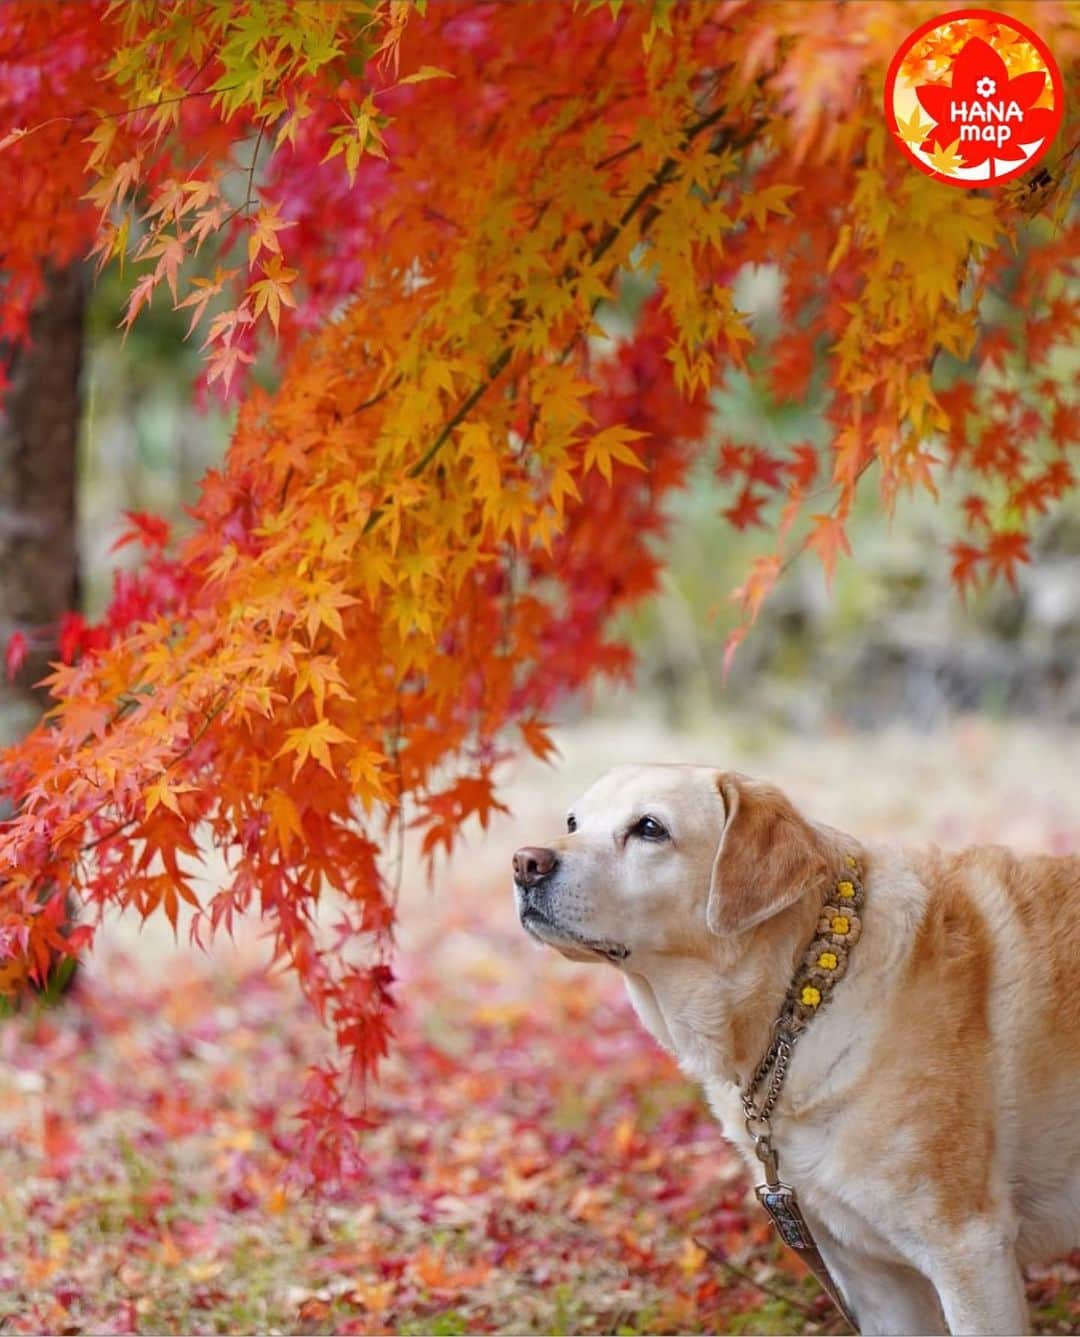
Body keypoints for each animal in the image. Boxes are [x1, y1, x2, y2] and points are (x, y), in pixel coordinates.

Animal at [513, 764, 1080, 1337]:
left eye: (649, 828)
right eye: (572, 821)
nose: (524, 863)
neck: (799, 997)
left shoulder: (968, 1250)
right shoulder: (874, 1276)